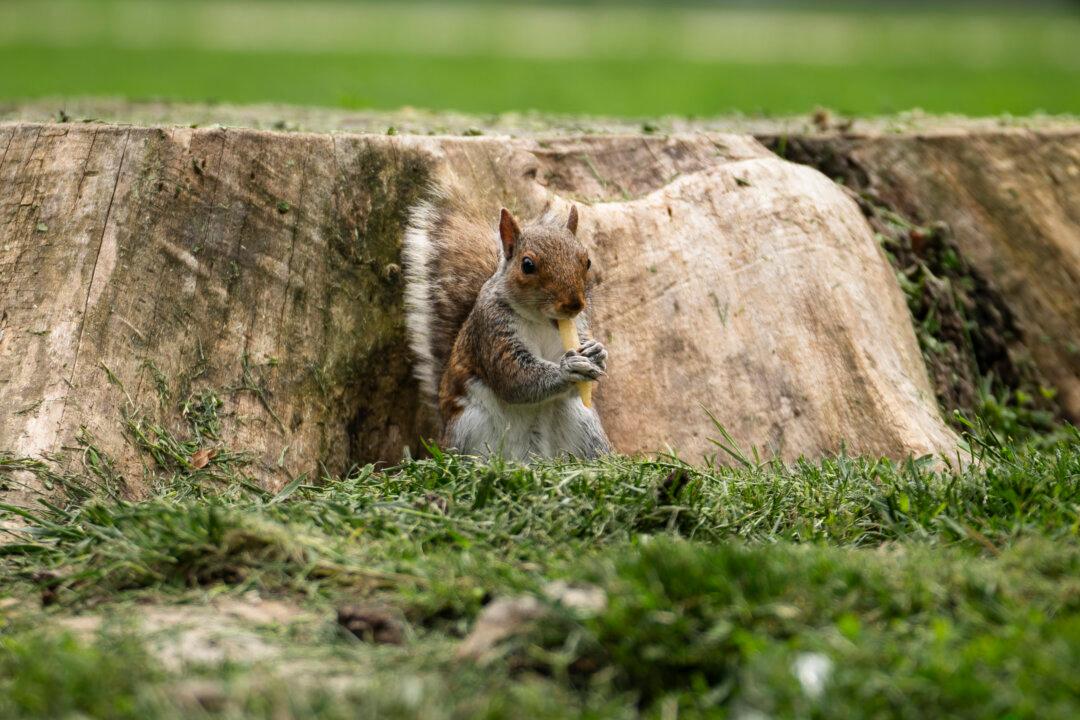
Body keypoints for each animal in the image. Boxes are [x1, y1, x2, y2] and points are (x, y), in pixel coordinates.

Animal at [403, 194, 611, 461]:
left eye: (587, 261)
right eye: (527, 265)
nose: (573, 304)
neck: (540, 322)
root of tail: (536, 461)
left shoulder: (578, 325)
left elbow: (581, 386)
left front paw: (597, 352)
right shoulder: (491, 331)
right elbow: (513, 377)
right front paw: (567, 369)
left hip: (585, 425)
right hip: (468, 428)